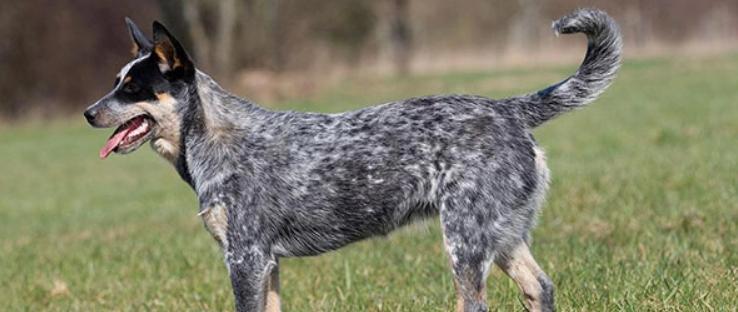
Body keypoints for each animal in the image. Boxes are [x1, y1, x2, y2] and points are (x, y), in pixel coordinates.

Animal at [83, 7, 620, 312]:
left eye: (133, 88)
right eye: (114, 81)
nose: (88, 112)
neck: (213, 139)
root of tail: (509, 108)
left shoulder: (246, 258)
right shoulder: (267, 264)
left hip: (466, 242)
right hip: (502, 236)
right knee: (540, 288)